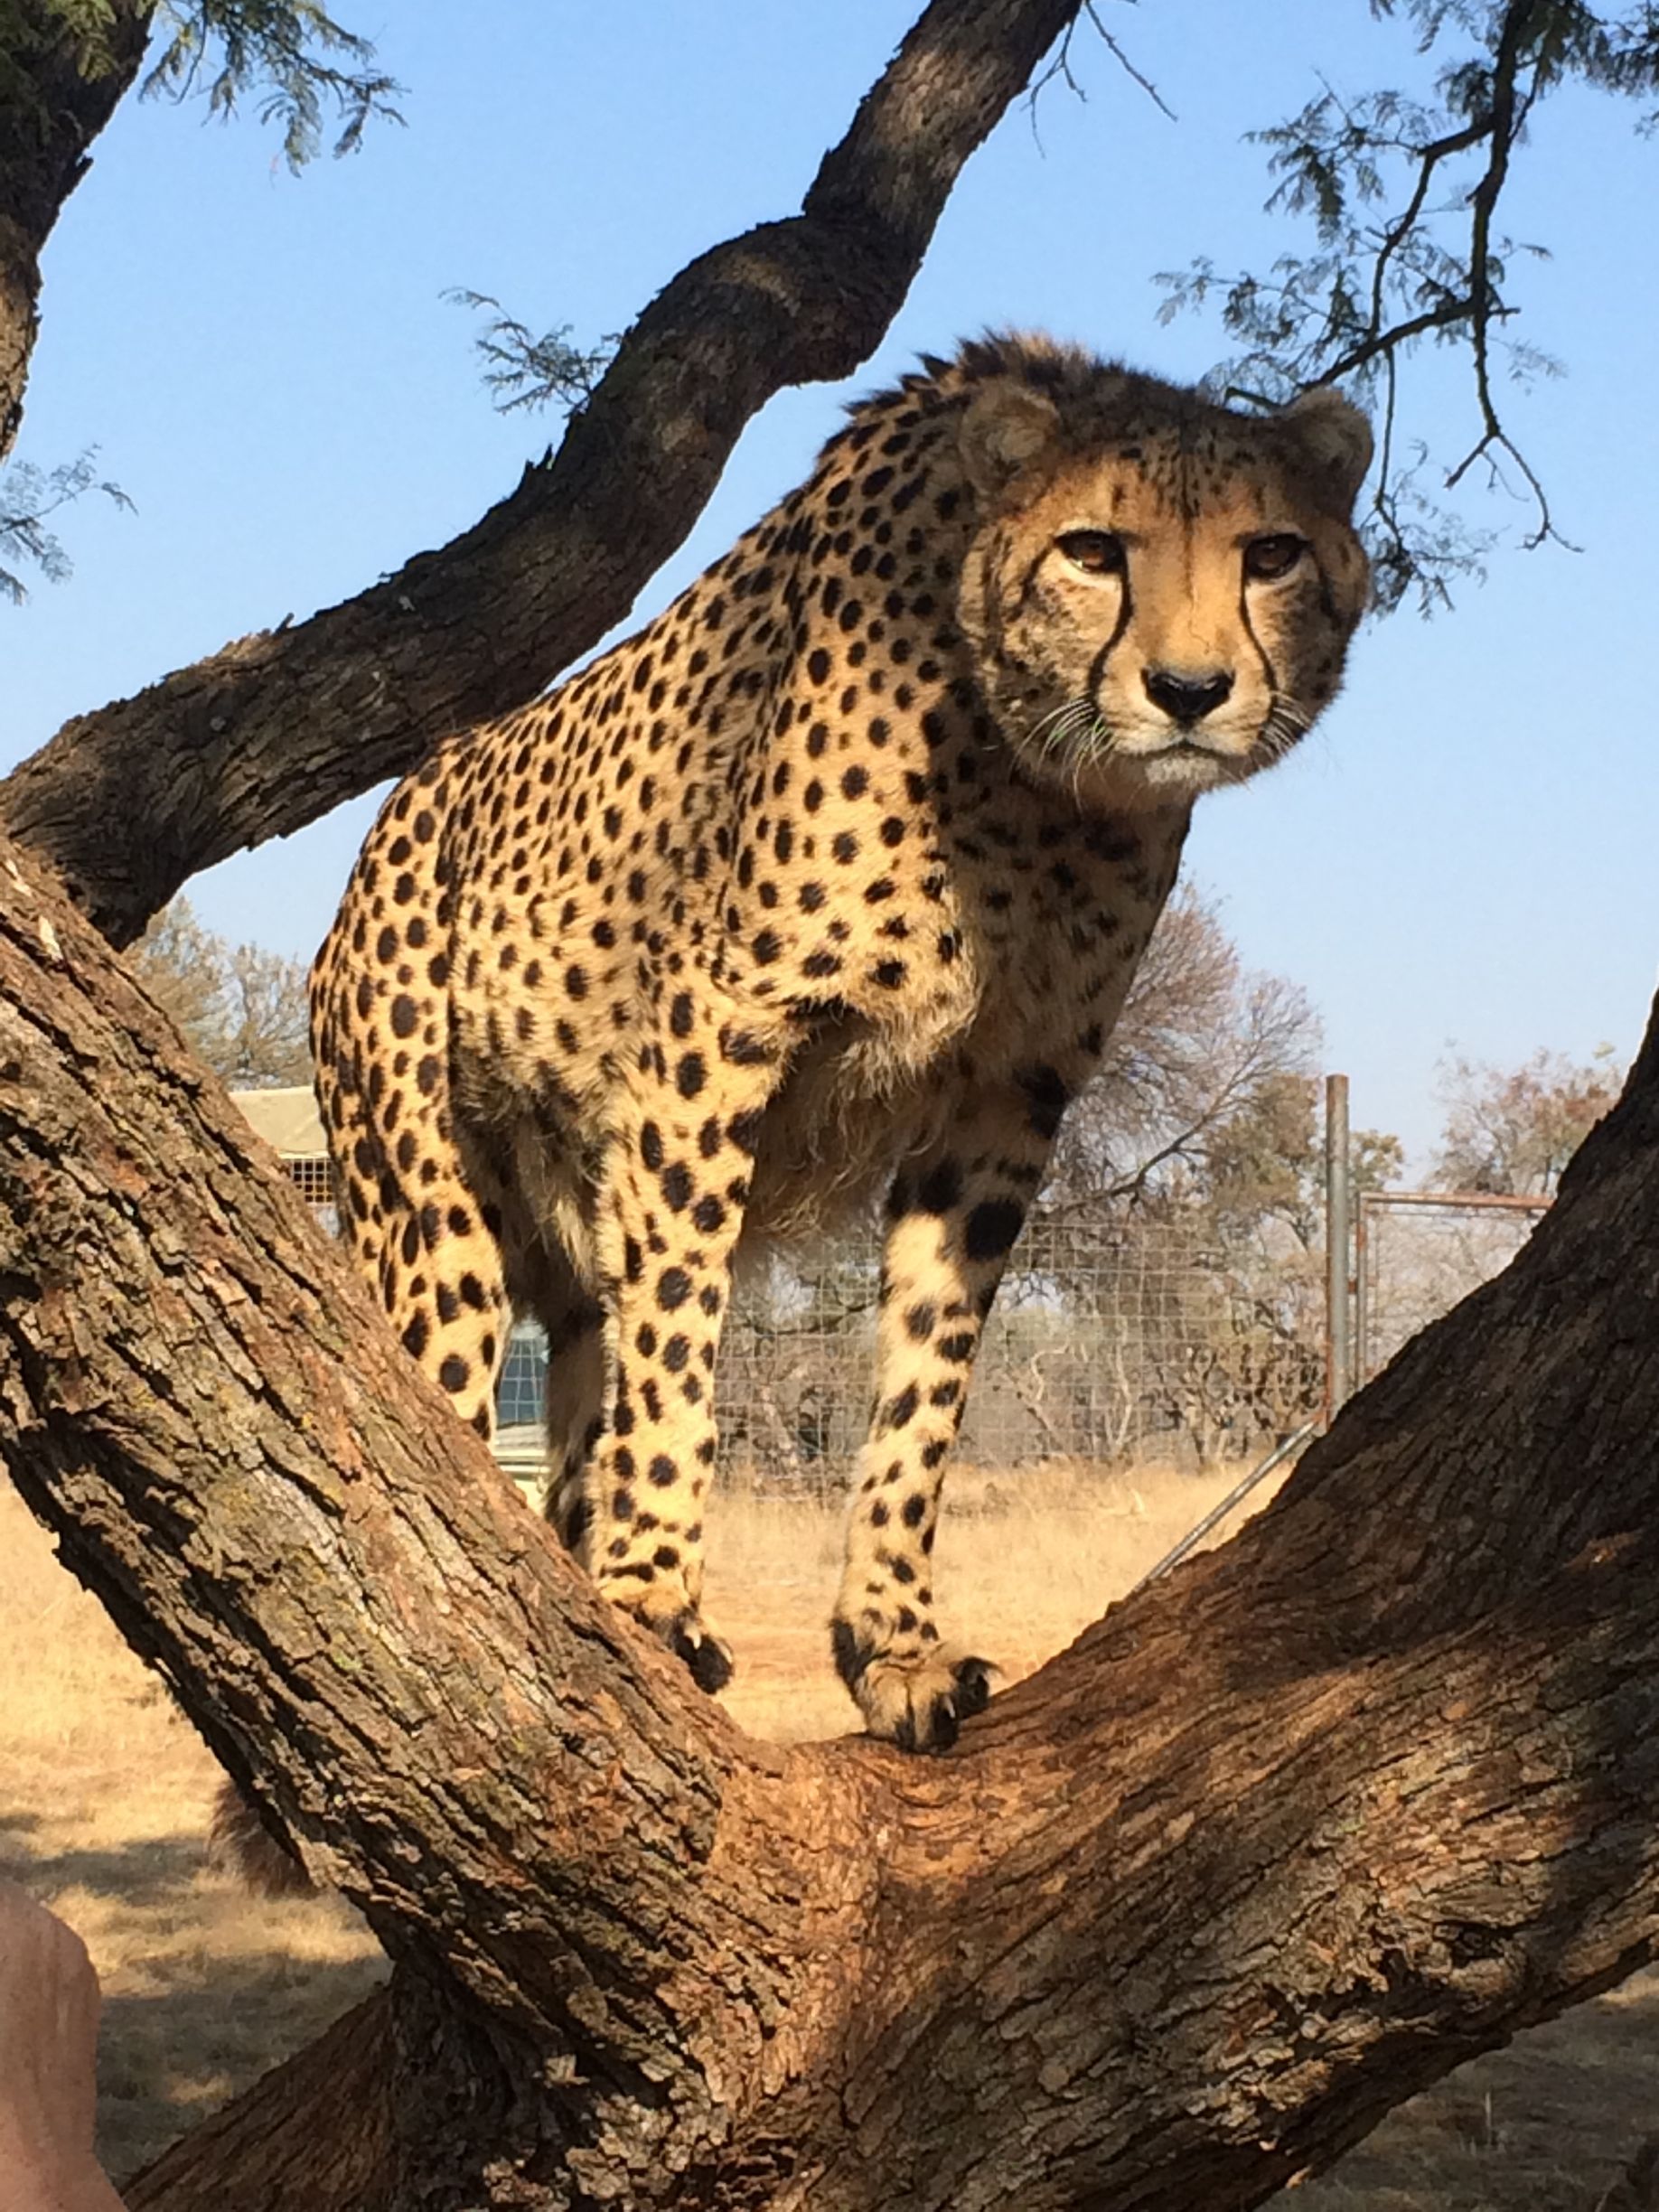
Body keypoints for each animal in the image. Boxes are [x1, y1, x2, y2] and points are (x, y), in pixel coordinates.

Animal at [312, 332, 1372, 1752]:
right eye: (1094, 550)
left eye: (1272, 554)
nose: (1191, 692)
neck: (1026, 774)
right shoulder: (713, 1043)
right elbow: (681, 1341)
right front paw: (654, 1590)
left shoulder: (1006, 1091)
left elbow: (928, 1379)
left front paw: (892, 1642)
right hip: (434, 1224)